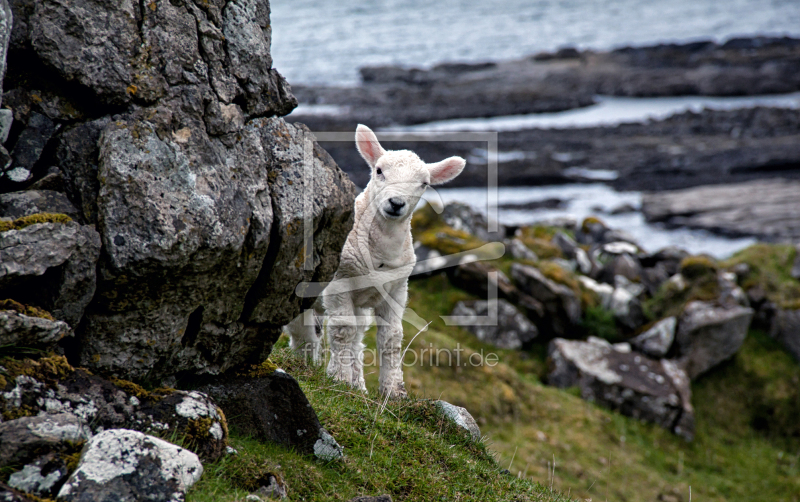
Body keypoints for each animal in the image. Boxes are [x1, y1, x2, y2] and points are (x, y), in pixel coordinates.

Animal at [284, 124, 466, 396]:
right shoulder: (339, 283)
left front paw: (393, 391)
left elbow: (392, 338)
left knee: (356, 339)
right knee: (304, 336)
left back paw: (358, 384)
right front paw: (338, 378)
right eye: (379, 171)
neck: (380, 253)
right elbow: (342, 330)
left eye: (424, 184)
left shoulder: (397, 289)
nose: (396, 203)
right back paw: (310, 367)